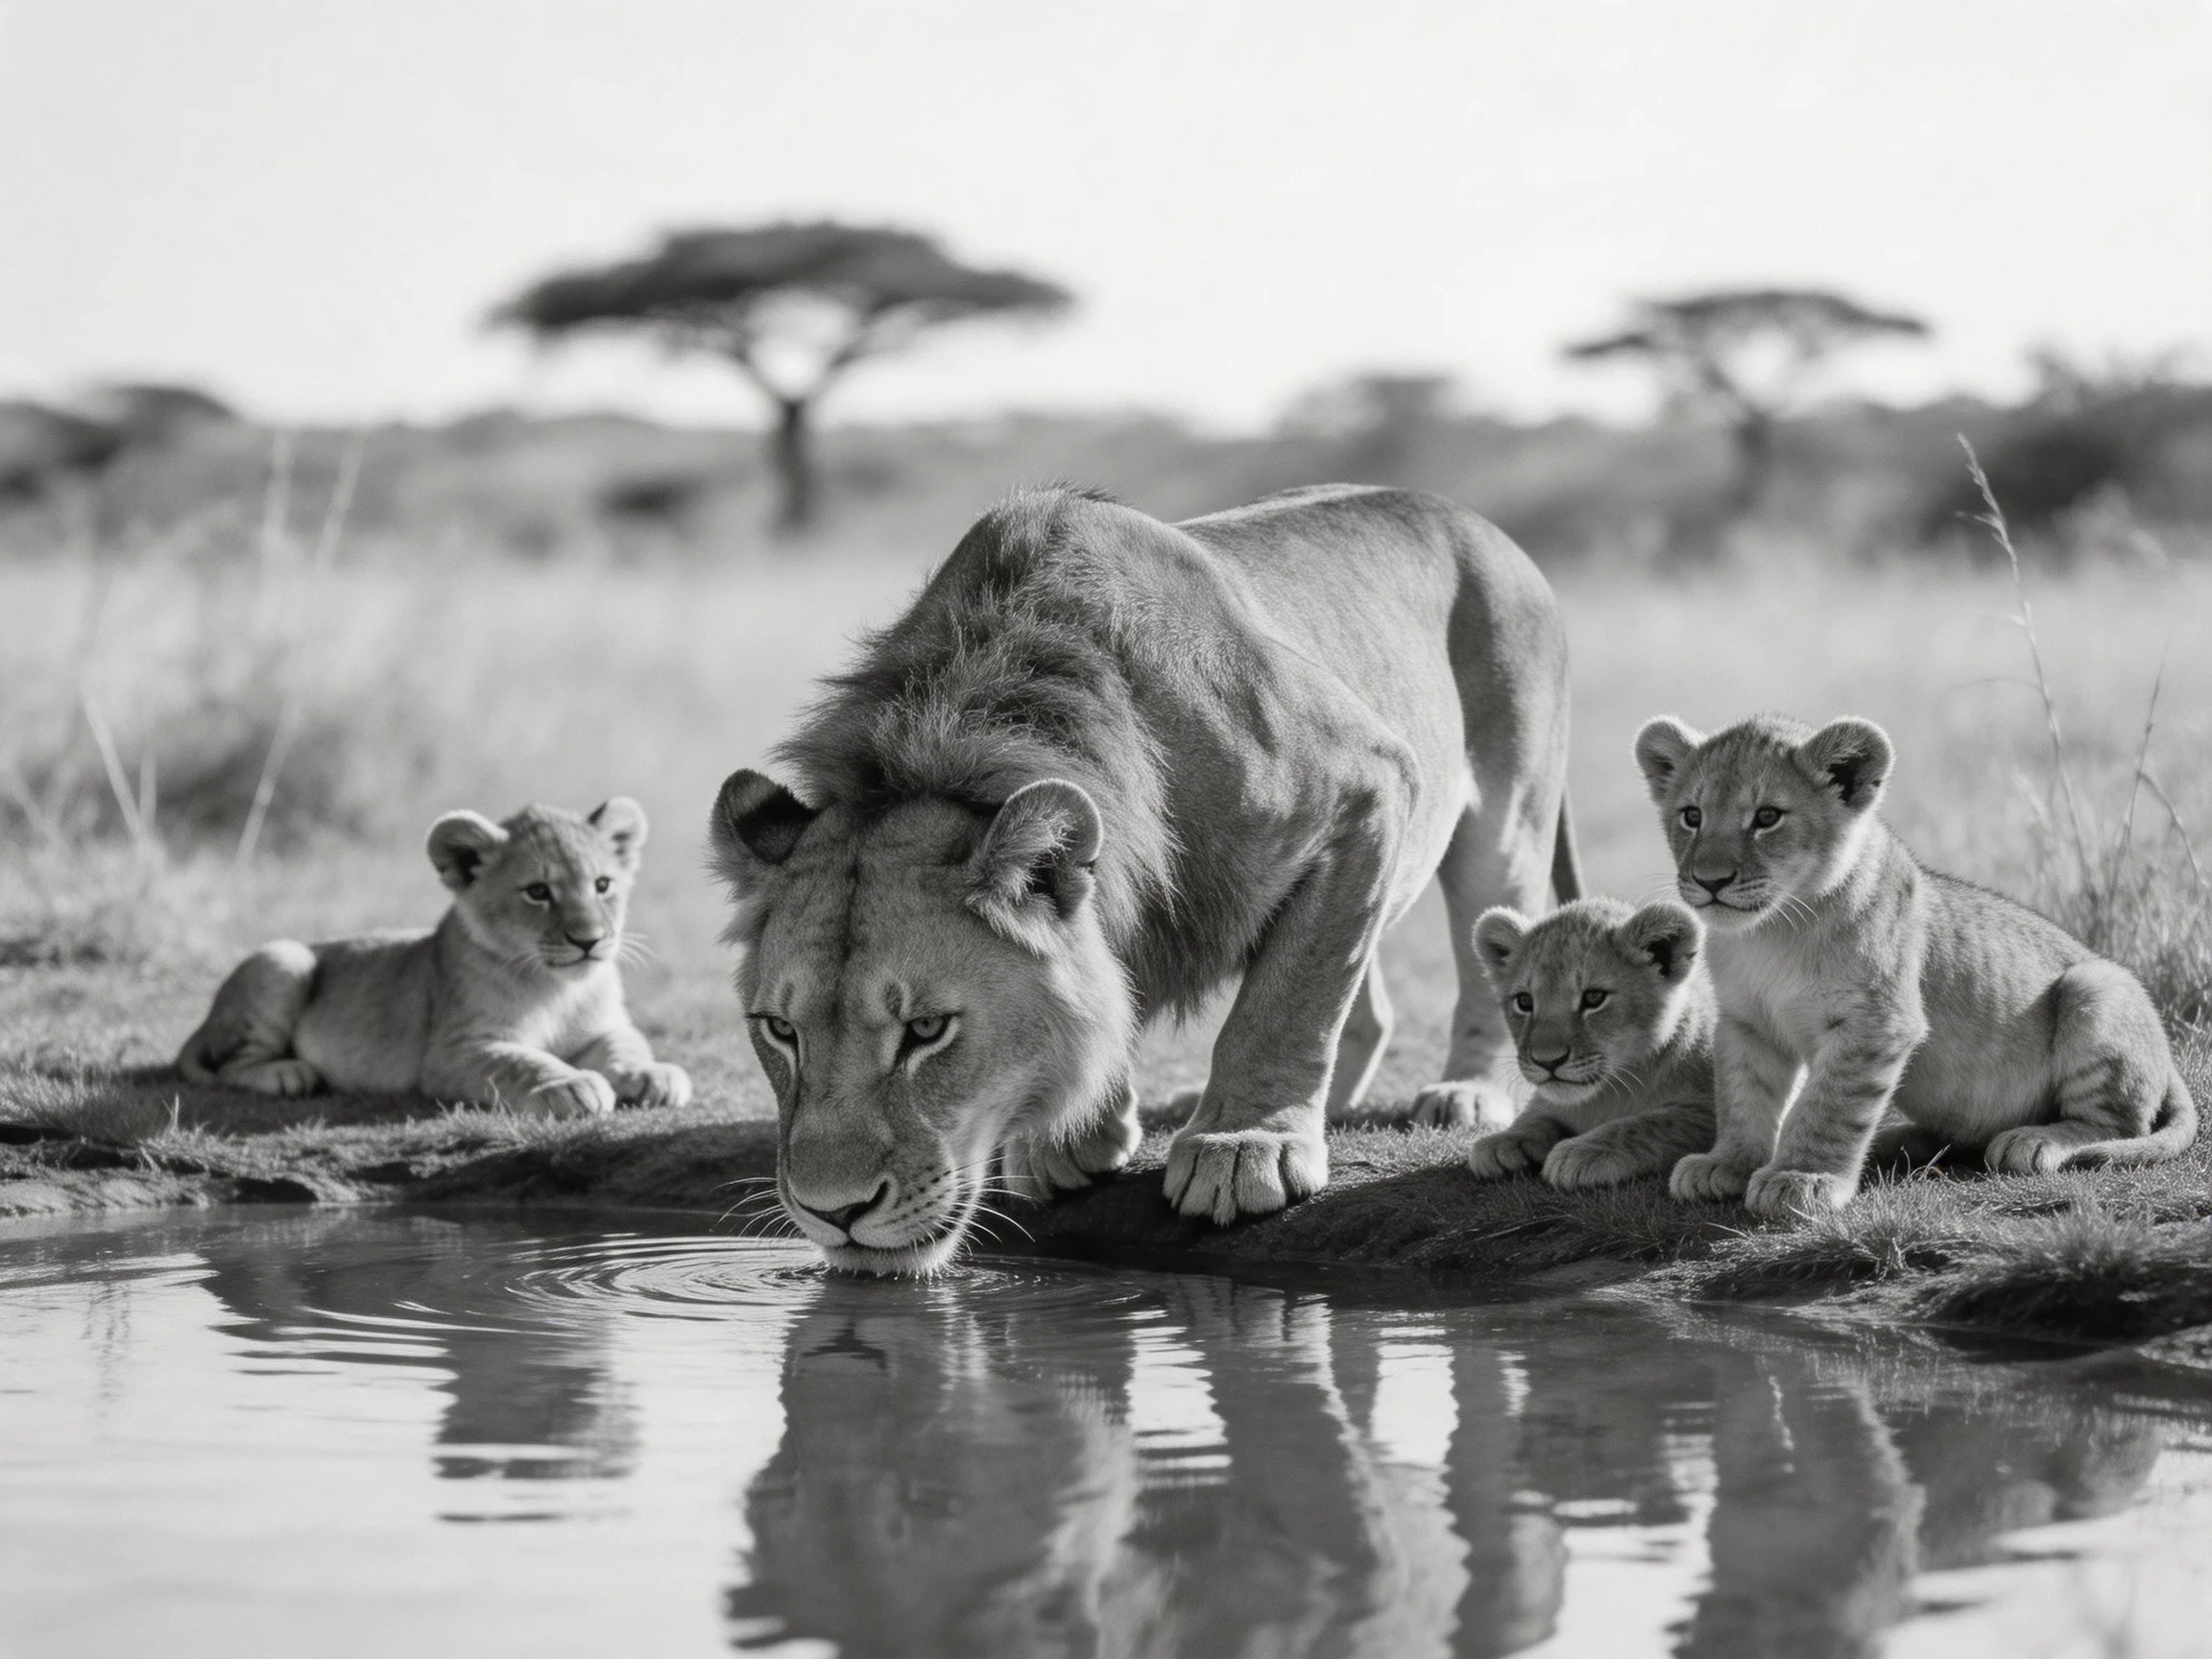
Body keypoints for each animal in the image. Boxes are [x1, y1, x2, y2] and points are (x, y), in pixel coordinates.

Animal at [176, 799, 690, 1116]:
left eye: (603, 885)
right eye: (538, 892)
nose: (590, 940)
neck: (558, 988)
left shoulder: (607, 1027)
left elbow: (629, 1046)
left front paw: (654, 1076)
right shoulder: (453, 1051)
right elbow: (523, 1061)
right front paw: (569, 1085)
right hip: (284, 960)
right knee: (230, 1065)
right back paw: (288, 1073)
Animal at [710, 483, 1577, 1273]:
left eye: (927, 1030)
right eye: (779, 1030)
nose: (834, 1213)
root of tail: (1463, 514)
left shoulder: (1368, 781)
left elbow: (1287, 1004)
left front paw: (1244, 1145)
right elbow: (1129, 981)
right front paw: (1070, 1138)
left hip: (1505, 822)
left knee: (1481, 944)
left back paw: (1465, 1092)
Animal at [1464, 897, 1717, 1189]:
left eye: (1594, 998)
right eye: (1525, 1001)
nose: (1547, 1061)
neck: (1602, 1097)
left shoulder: (1708, 1108)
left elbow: (1652, 1123)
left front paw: (1581, 1151)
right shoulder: (1550, 1102)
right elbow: (1535, 1115)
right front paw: (1503, 1142)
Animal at [1634, 714, 2196, 1217]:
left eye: (1767, 817)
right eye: (1691, 816)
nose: (1709, 881)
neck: (1770, 932)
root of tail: (2168, 1062)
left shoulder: (1875, 1022)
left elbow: (1829, 1106)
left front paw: (1802, 1177)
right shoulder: (1747, 1023)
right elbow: (1742, 1098)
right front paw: (1727, 1164)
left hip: (2094, 985)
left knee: (2116, 1127)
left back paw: (2031, 1141)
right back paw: (1895, 1141)